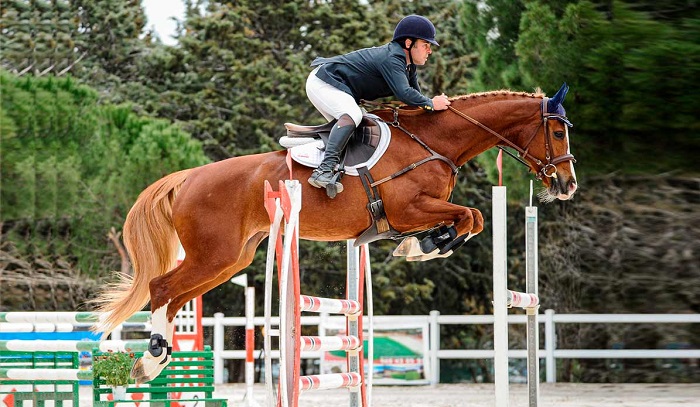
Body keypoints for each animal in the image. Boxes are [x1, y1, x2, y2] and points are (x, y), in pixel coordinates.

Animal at [91, 82, 576, 382]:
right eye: (556, 131)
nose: (567, 185)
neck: (433, 142)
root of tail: (188, 176)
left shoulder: (417, 211)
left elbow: (469, 219)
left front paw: (422, 246)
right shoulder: (409, 208)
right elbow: (471, 216)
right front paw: (421, 248)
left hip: (231, 258)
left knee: (174, 298)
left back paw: (154, 361)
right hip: (213, 254)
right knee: (161, 287)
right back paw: (152, 358)